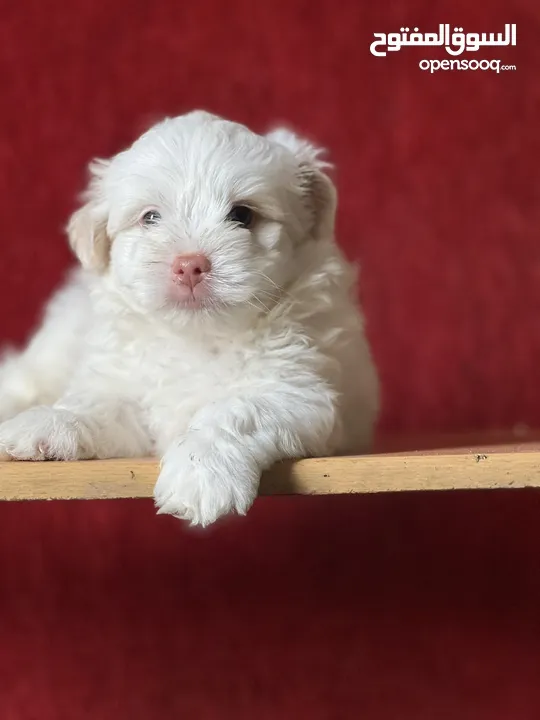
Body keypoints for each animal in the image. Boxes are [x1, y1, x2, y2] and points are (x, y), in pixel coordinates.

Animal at [0, 114, 380, 528]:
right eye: (150, 217)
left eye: (242, 215)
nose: (189, 265)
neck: (199, 337)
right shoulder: (125, 383)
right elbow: (97, 403)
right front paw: (50, 423)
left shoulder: (297, 389)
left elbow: (235, 411)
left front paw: (204, 470)